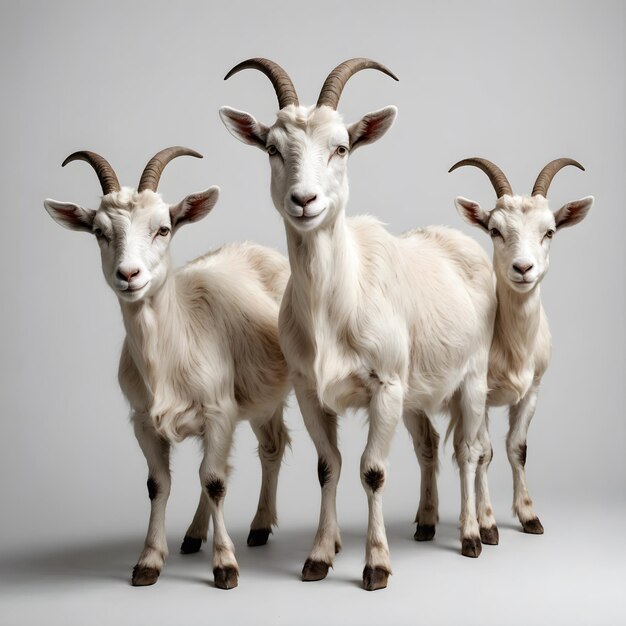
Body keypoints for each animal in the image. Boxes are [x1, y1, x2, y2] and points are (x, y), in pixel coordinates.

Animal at [42, 149, 292, 588]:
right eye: (99, 231)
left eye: (163, 228)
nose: (129, 275)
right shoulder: (144, 420)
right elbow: (159, 485)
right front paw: (149, 562)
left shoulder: (219, 411)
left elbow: (214, 481)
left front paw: (225, 566)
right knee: (253, 452)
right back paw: (197, 534)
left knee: (267, 450)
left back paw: (260, 526)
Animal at [219, 56, 498, 588]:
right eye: (272, 148)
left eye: (341, 147)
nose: (304, 200)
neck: (336, 304)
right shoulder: (310, 390)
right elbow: (329, 466)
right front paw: (318, 557)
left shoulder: (384, 386)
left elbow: (373, 471)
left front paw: (376, 566)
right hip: (416, 392)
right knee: (431, 445)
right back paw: (427, 523)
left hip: (472, 378)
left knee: (470, 449)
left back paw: (476, 534)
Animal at [442, 156, 592, 532]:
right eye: (495, 230)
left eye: (549, 231)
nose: (523, 268)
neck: (512, 346)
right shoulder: (477, 395)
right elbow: (483, 452)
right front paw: (486, 523)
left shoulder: (532, 391)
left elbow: (517, 448)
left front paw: (528, 515)